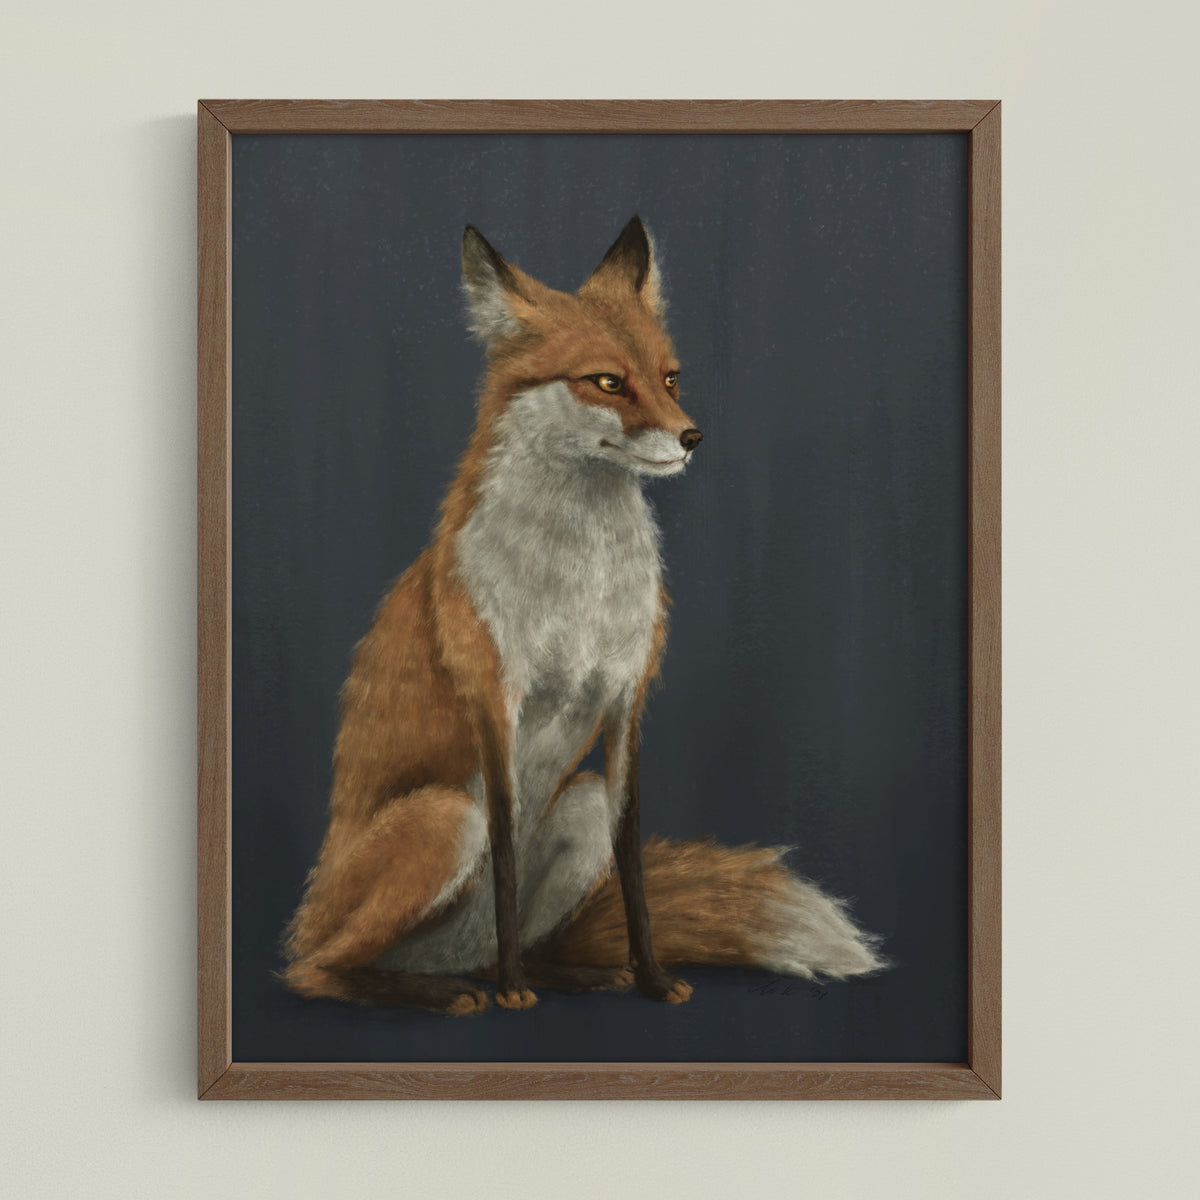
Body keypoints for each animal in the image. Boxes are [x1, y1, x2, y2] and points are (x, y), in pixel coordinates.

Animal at [281, 216, 887, 1015]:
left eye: (670, 377)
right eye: (607, 381)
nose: (693, 437)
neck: (581, 585)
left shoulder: (626, 700)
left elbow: (632, 865)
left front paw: (652, 978)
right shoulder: (494, 701)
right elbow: (506, 853)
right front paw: (513, 994)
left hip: (580, 805)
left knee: (501, 941)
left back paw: (563, 973)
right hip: (444, 819)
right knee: (317, 970)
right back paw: (449, 990)